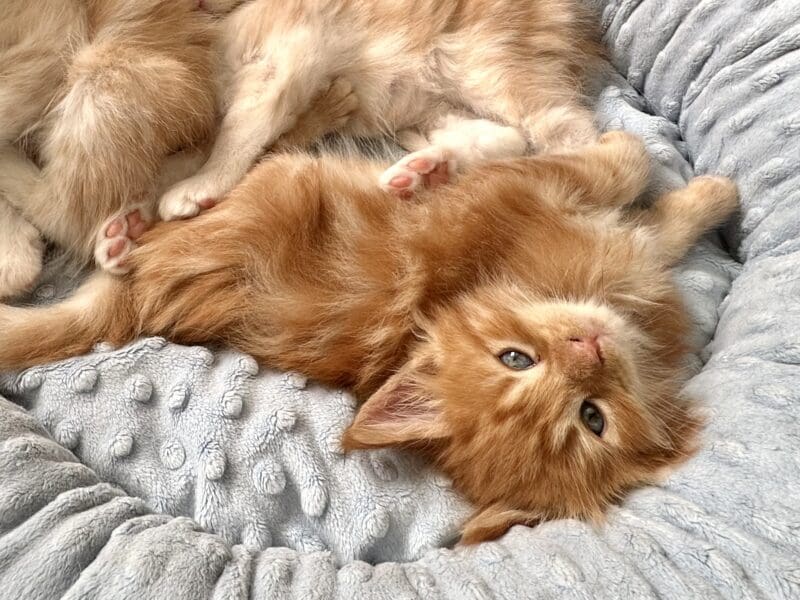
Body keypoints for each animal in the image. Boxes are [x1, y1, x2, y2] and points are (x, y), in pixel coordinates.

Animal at [0, 132, 736, 544]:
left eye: (592, 417)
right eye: (516, 359)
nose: (591, 349)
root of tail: (132, 308)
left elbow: (654, 227)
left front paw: (702, 199)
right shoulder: (523, 192)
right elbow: (622, 164)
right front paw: (714, 187)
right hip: (283, 174)